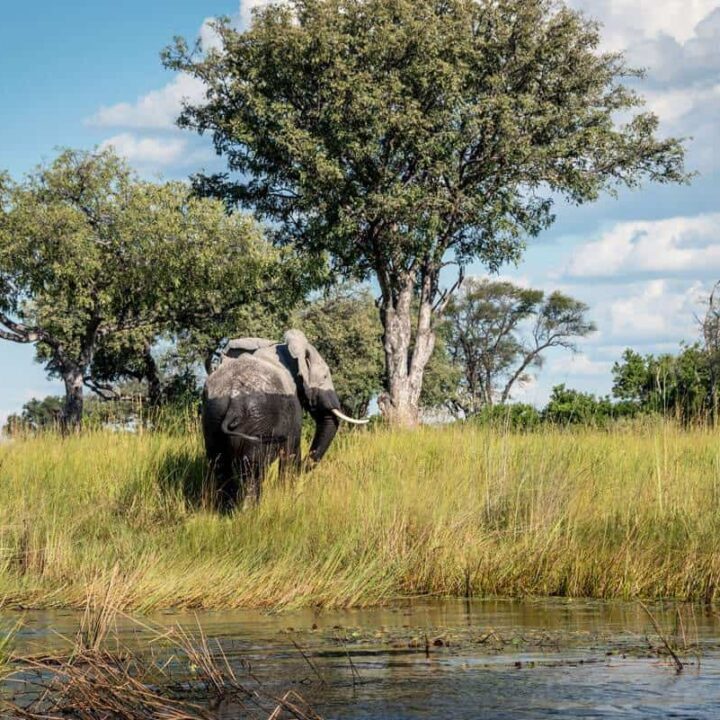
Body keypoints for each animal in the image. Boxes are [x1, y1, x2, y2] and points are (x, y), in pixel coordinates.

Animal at [201, 329, 367, 509]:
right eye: (324, 376)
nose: (304, 467)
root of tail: (234, 403)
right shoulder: (292, 407)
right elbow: (291, 449)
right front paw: (287, 495)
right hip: (257, 421)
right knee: (252, 467)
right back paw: (250, 510)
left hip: (213, 414)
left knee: (218, 461)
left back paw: (225, 508)